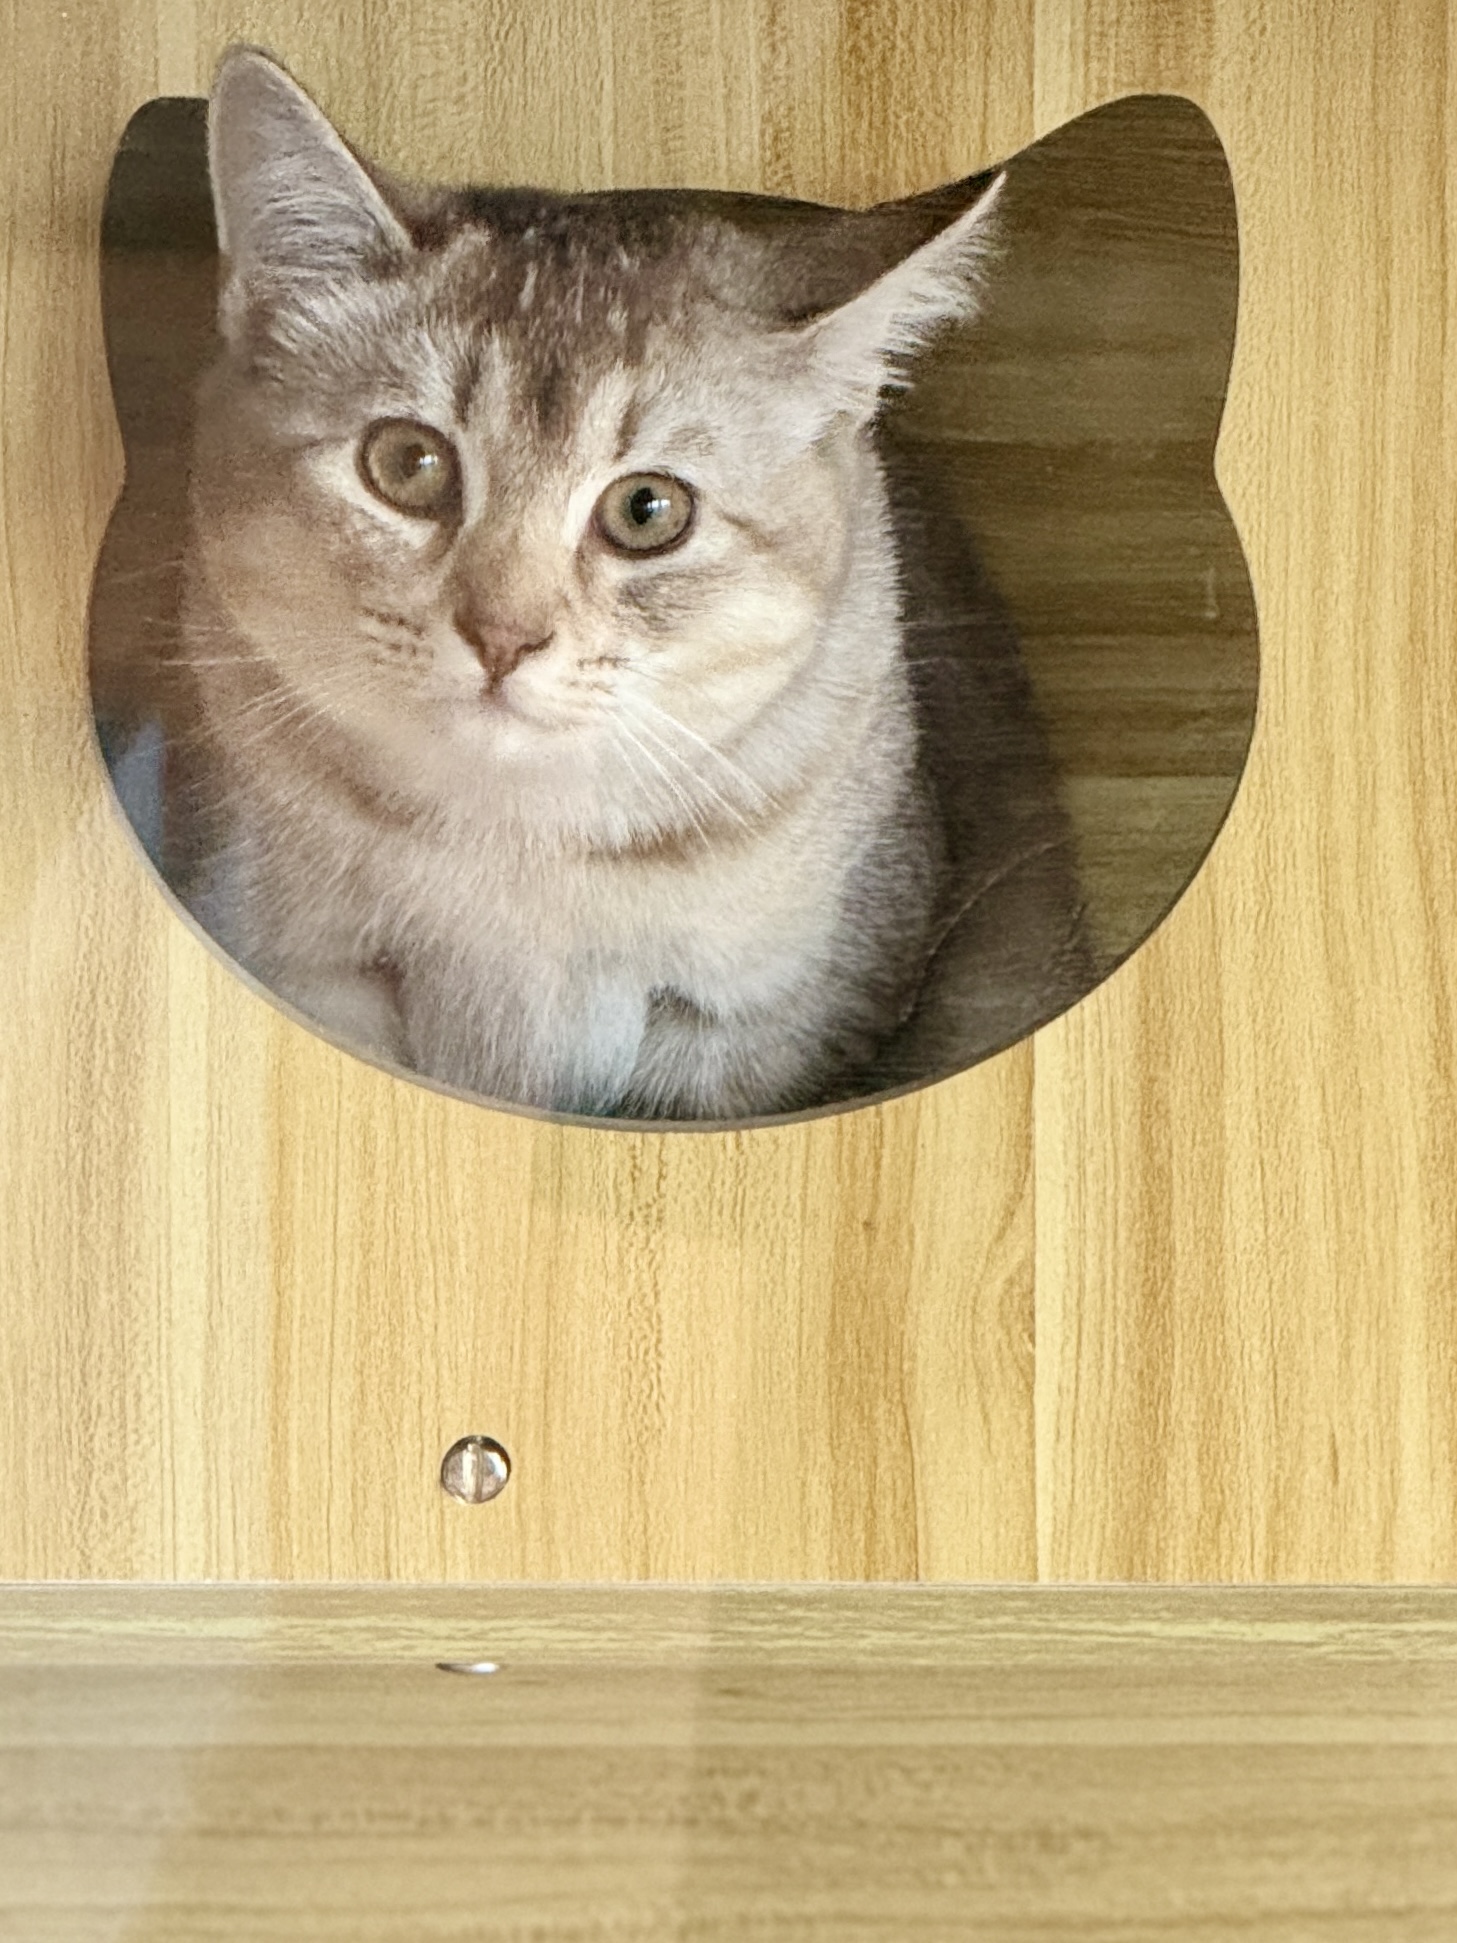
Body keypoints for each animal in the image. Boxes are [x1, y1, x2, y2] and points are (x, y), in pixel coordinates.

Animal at [177, 45, 1087, 1120]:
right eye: (406, 463)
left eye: (647, 511)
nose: (502, 636)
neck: (512, 847)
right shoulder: (309, 967)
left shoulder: (765, 1027)